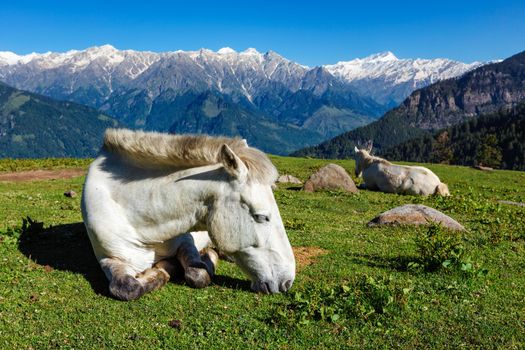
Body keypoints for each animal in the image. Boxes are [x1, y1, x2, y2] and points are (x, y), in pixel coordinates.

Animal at [81, 129, 294, 300]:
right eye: (261, 217)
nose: (287, 281)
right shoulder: (108, 258)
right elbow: (127, 288)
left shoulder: (186, 242)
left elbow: (197, 274)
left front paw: (172, 266)